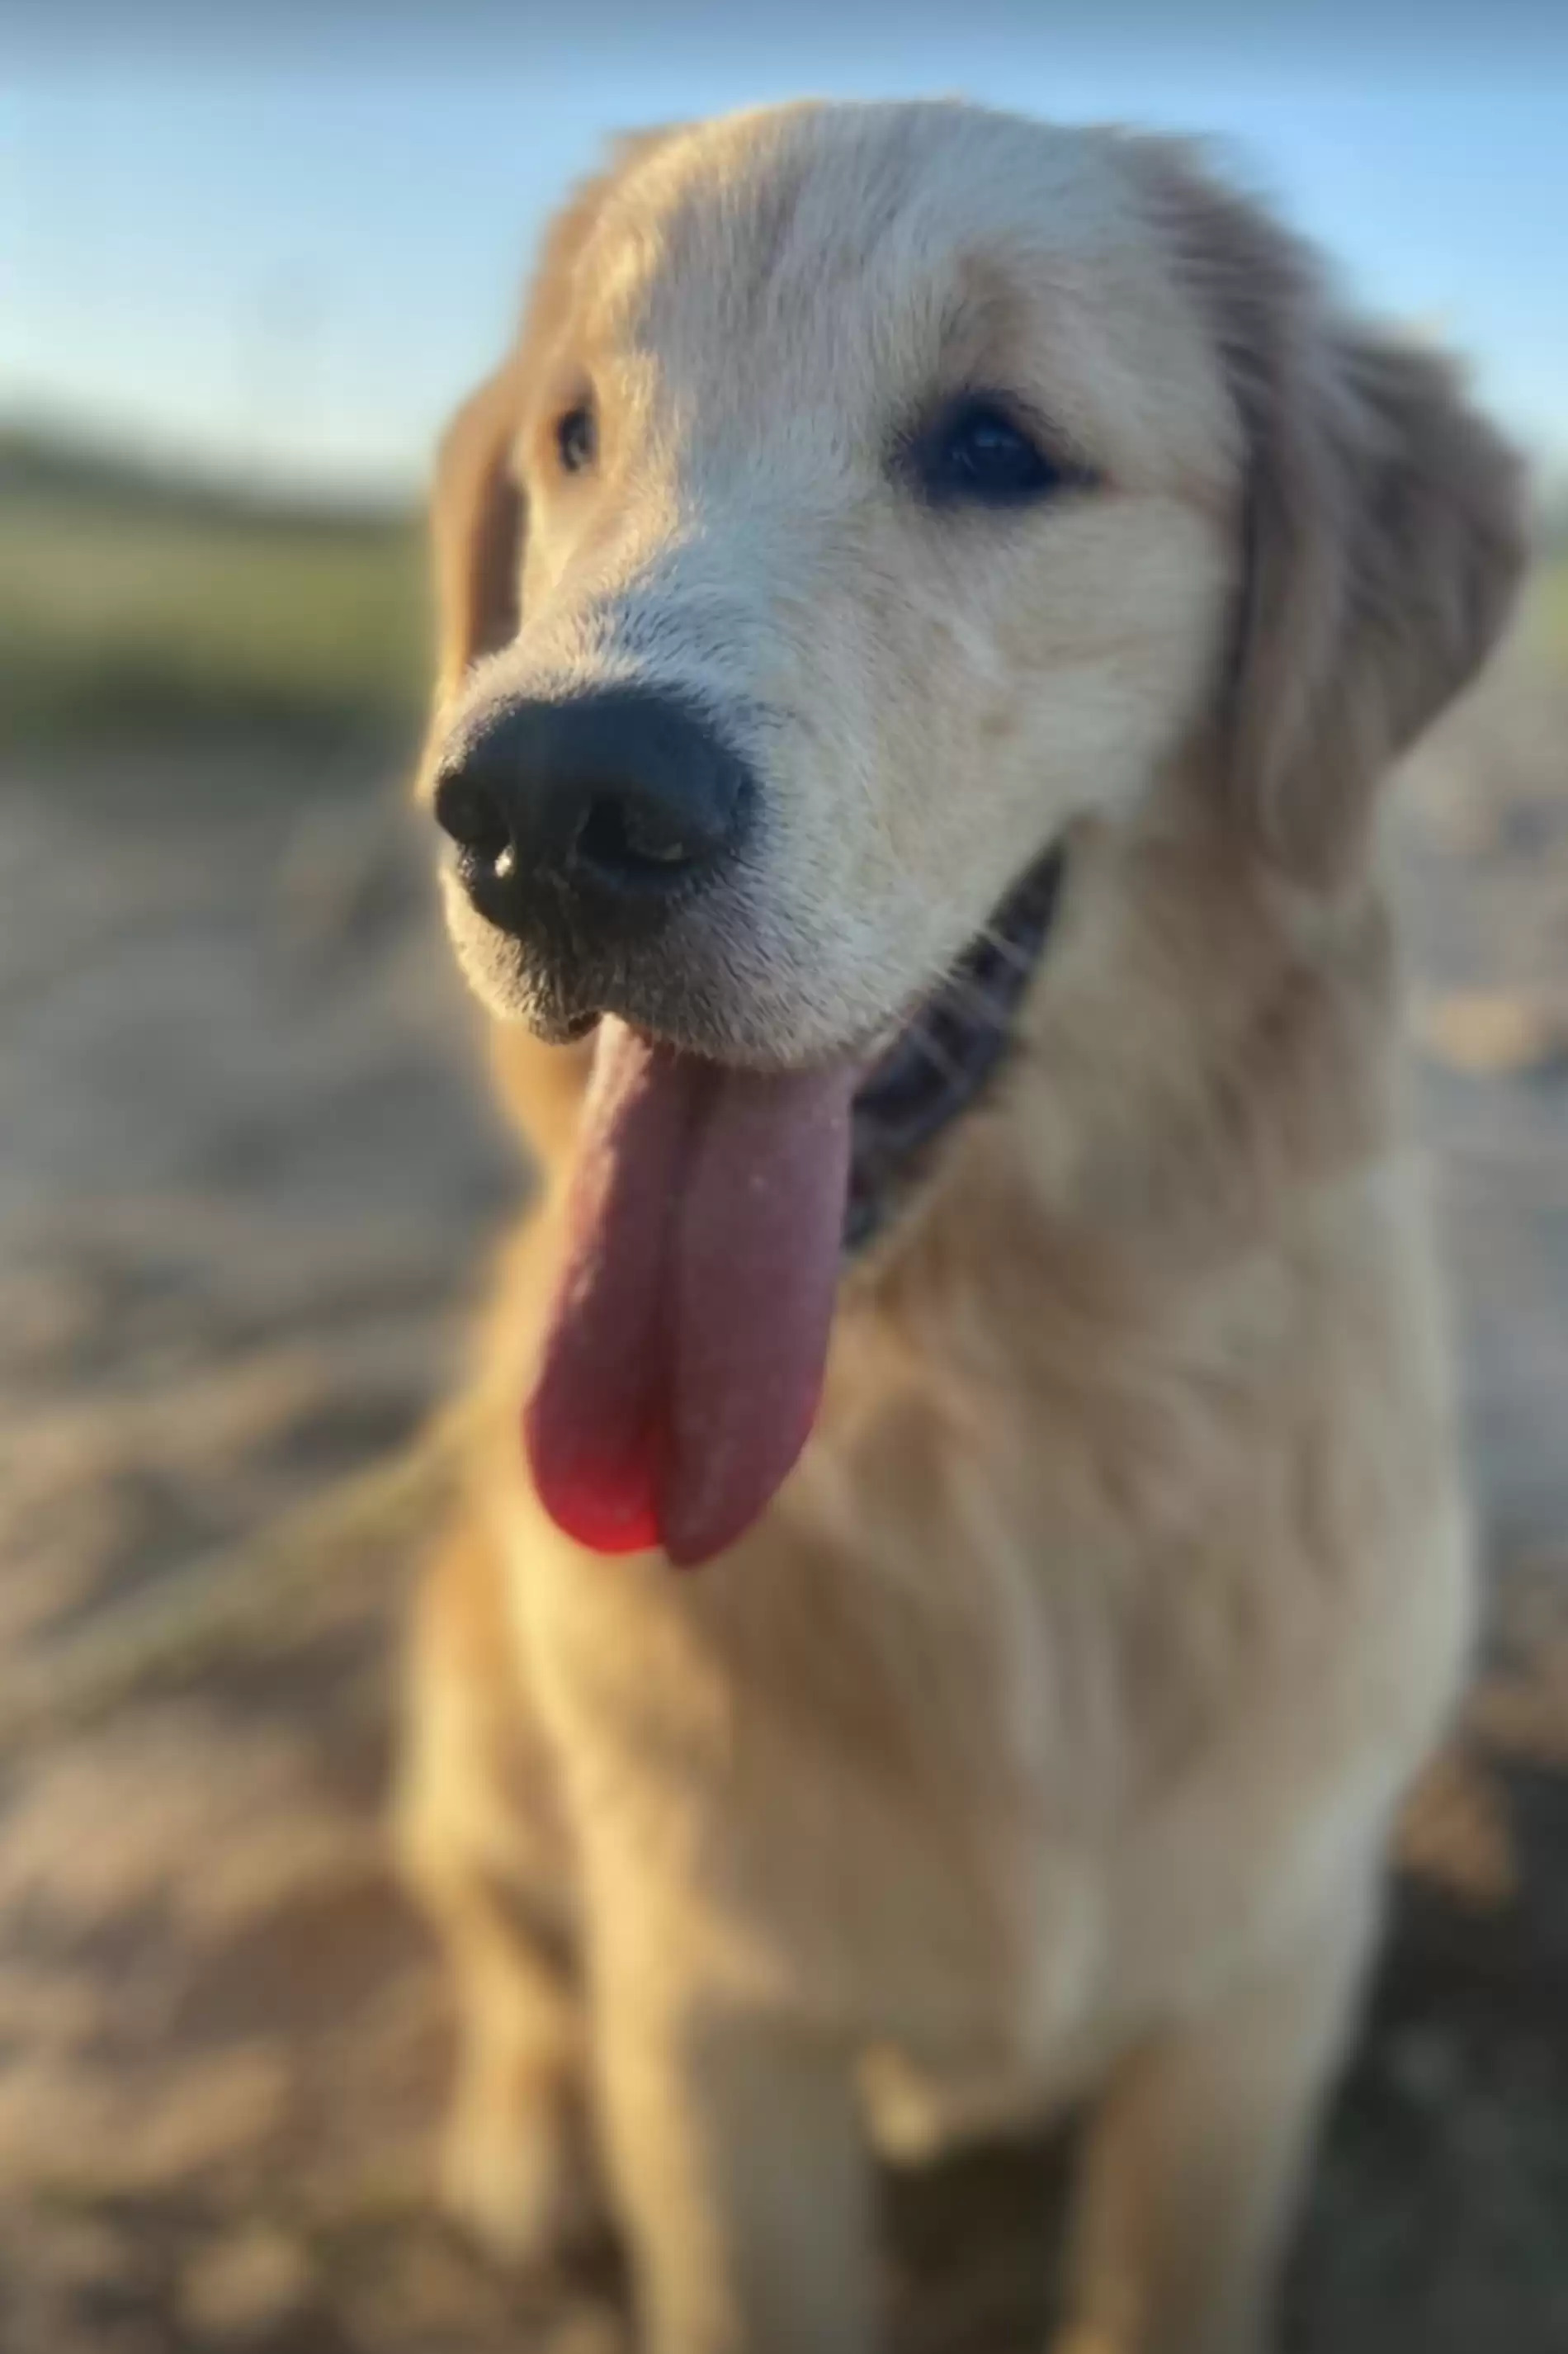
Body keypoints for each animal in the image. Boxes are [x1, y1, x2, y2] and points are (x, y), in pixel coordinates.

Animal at [397, 99, 1526, 2354]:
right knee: (498, 1934)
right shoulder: (711, 2022)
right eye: (573, 433)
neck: (999, 1408)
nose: (544, 812)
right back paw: (525, 2138)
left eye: (996, 446)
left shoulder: (1259, 1996)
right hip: (480, 1709)